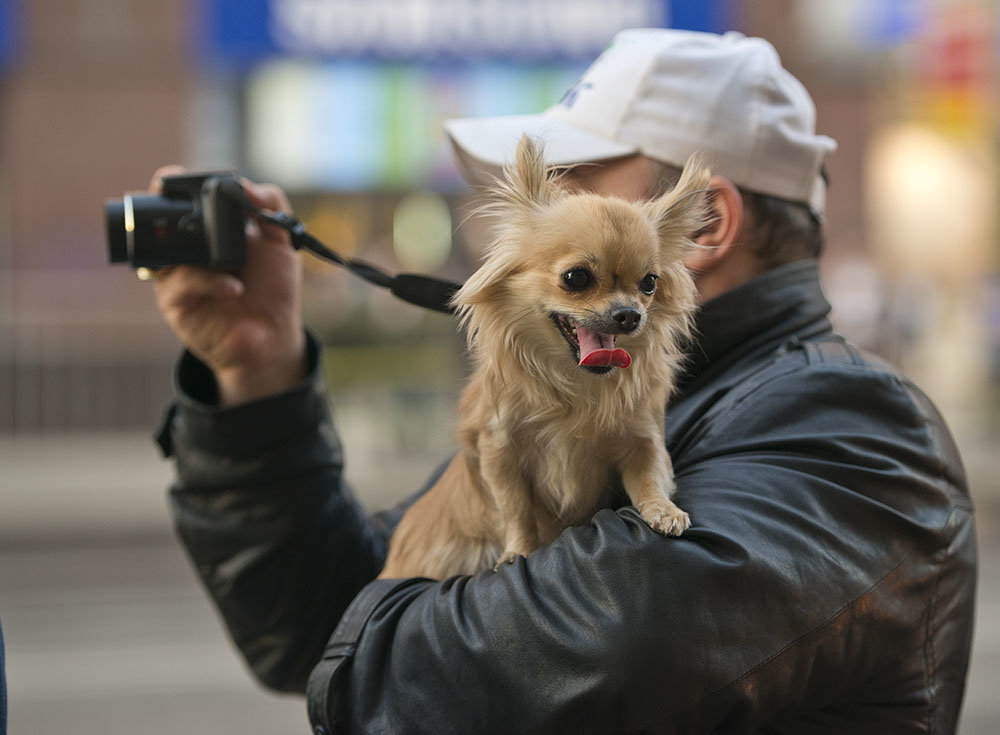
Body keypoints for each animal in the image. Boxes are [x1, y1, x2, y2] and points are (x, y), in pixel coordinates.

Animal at [378, 135, 708, 576]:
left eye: (649, 283)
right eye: (576, 278)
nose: (630, 314)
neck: (578, 386)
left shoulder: (641, 439)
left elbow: (650, 477)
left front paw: (663, 510)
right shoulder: (499, 451)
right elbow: (515, 509)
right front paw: (517, 550)